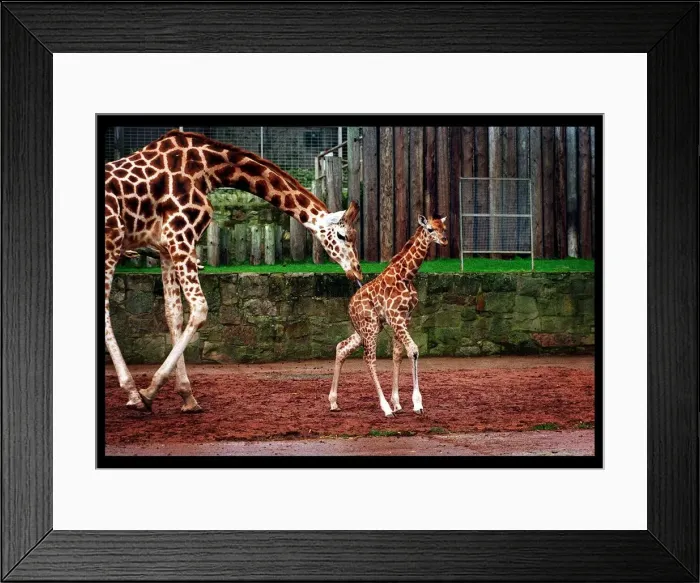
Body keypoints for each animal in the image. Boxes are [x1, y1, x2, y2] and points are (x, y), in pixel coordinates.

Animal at [105, 129, 363, 413]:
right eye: (343, 236)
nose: (358, 272)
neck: (208, 169)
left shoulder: (166, 247)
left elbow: (173, 316)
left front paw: (187, 397)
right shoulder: (181, 236)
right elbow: (199, 308)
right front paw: (149, 391)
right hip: (112, 242)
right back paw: (132, 391)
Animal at [329, 215, 448, 417]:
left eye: (444, 227)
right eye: (430, 229)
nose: (445, 240)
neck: (406, 276)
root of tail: (350, 306)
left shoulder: (405, 318)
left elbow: (398, 354)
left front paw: (398, 403)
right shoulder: (395, 318)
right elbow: (413, 350)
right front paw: (417, 404)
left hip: (368, 327)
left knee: (342, 347)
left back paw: (333, 402)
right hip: (369, 327)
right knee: (369, 359)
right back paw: (384, 408)